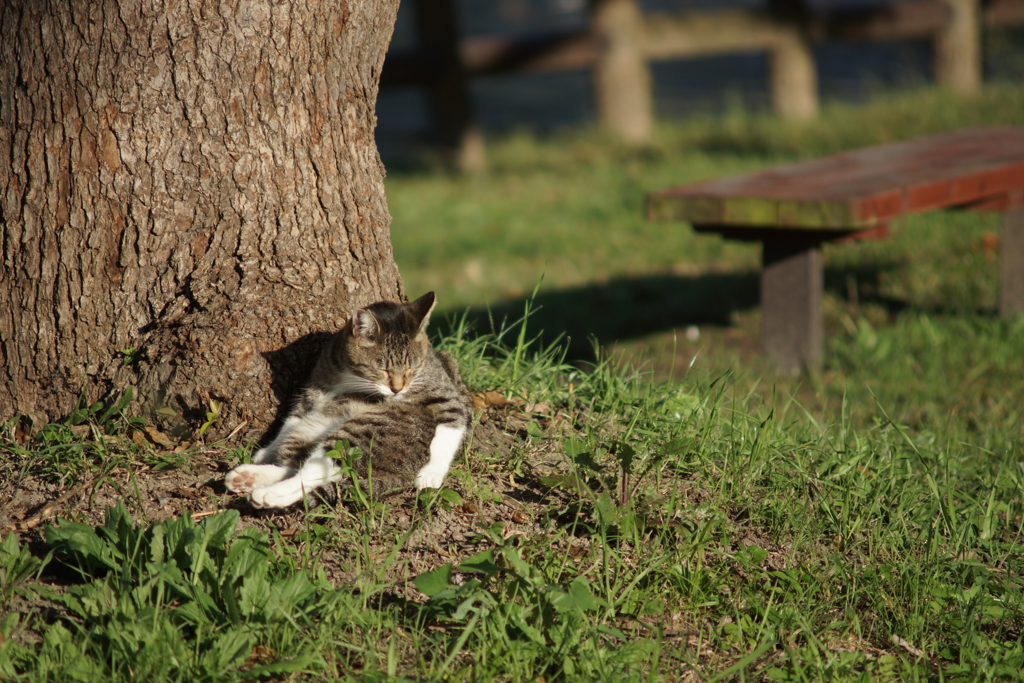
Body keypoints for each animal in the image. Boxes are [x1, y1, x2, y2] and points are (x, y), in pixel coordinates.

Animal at [224, 290, 471, 509]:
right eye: (382, 370)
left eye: (411, 369)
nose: (397, 389)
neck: (353, 377)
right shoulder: (315, 389)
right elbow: (291, 419)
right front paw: (267, 450)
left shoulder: (442, 392)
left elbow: (451, 425)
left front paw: (432, 472)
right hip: (310, 430)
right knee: (298, 464)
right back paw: (249, 476)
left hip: (357, 436)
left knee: (317, 473)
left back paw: (269, 494)